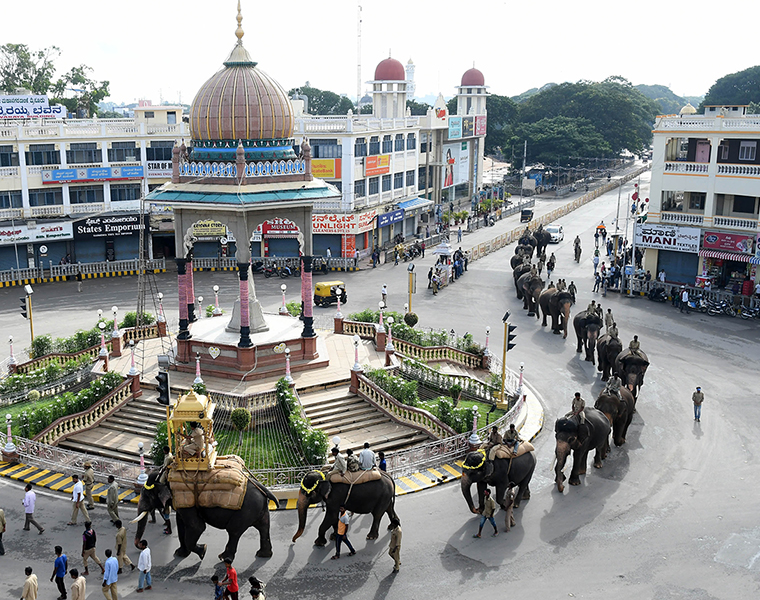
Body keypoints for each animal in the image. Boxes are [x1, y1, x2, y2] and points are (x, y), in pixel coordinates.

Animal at [132, 468, 278, 564]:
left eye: (148, 496)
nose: (143, 543)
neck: (165, 477)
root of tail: (262, 487)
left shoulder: (186, 502)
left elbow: (197, 527)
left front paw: (203, 551)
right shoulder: (182, 502)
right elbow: (181, 524)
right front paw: (180, 553)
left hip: (246, 511)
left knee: (234, 531)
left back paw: (224, 558)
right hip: (259, 509)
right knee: (263, 528)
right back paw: (263, 555)